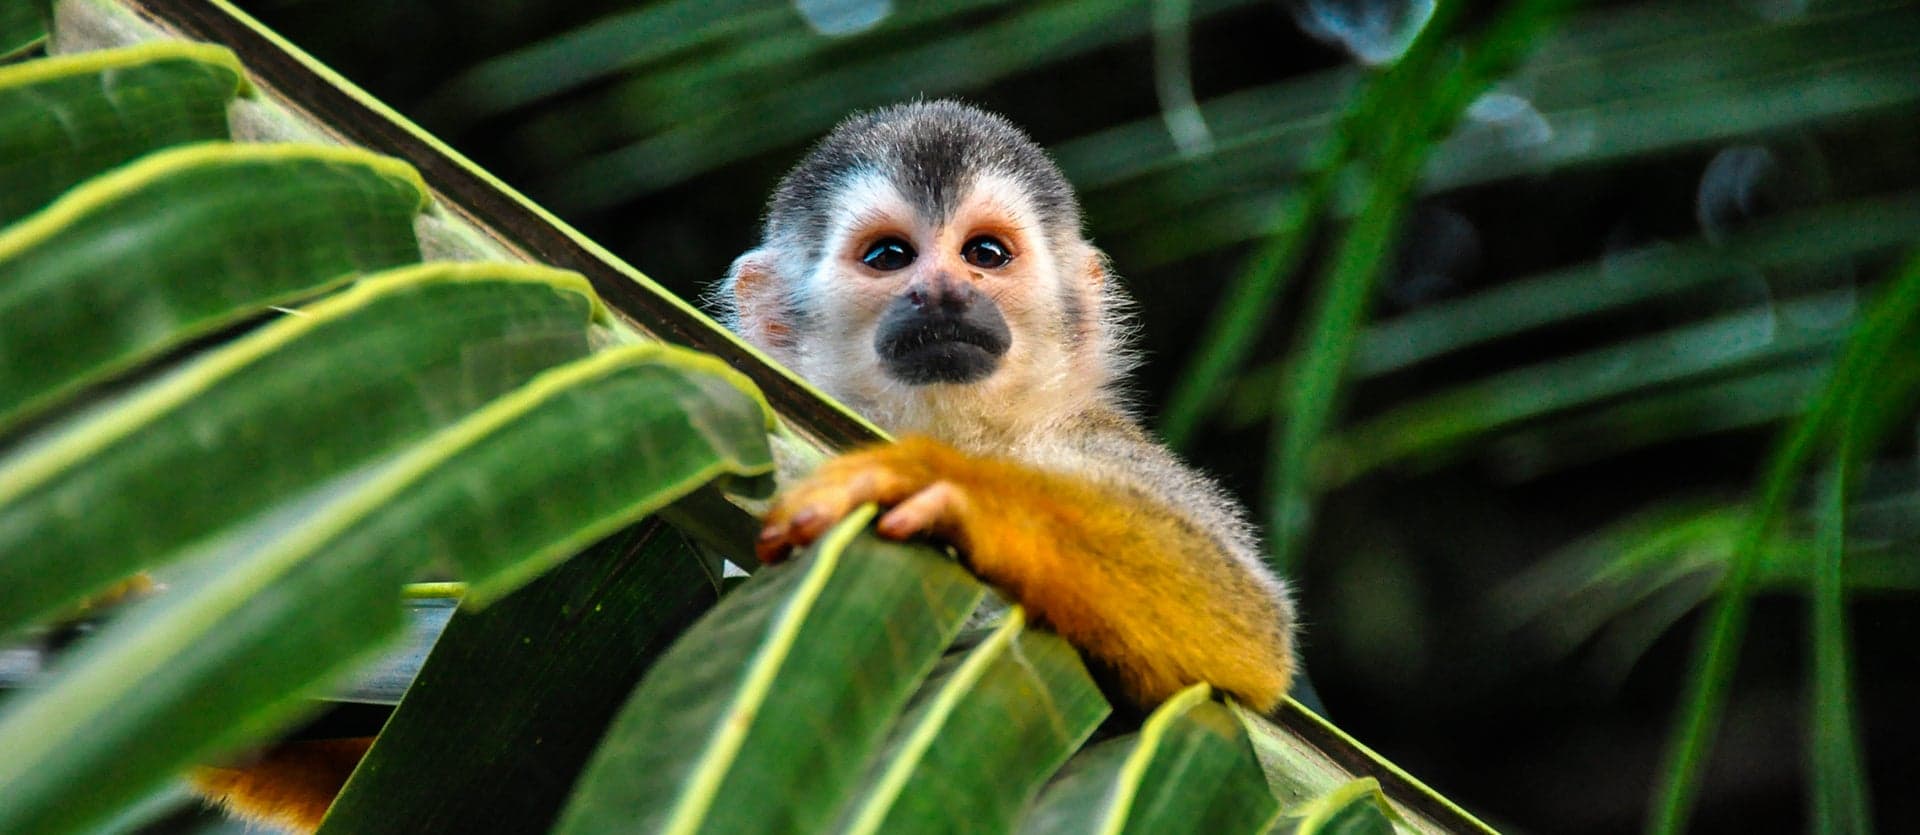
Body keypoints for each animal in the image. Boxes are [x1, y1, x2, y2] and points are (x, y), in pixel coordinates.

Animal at [727, 100, 1297, 713]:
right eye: (889, 256)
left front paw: (944, 483)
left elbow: (1251, 625)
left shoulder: (1094, 436)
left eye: (985, 253)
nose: (944, 292)